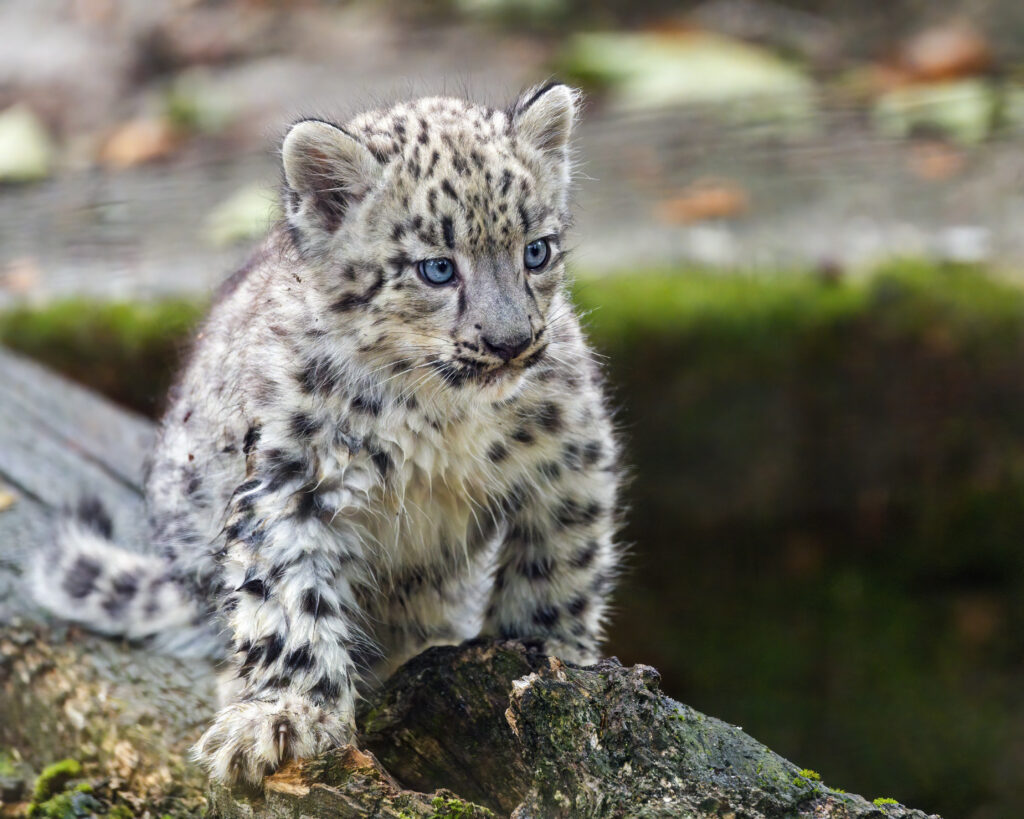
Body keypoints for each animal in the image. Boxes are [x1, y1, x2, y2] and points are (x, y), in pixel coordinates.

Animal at [31, 82, 622, 786]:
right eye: (436, 268)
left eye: (536, 250)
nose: (511, 343)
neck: (445, 417)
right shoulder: (292, 484)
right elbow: (290, 603)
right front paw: (285, 719)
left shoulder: (568, 455)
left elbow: (556, 567)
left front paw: (549, 651)